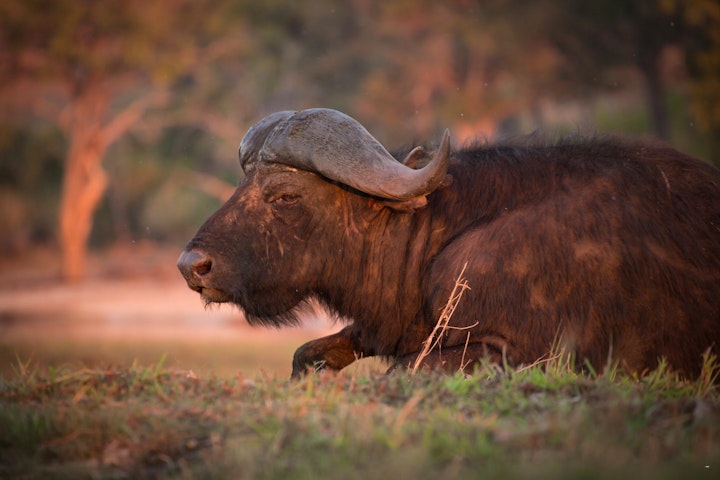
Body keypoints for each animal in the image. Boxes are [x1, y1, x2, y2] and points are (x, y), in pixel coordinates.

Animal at [176, 108, 720, 378]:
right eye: (242, 184)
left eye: (285, 194)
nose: (191, 265)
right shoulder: (391, 329)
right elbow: (306, 356)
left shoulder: (522, 353)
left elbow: (402, 374)